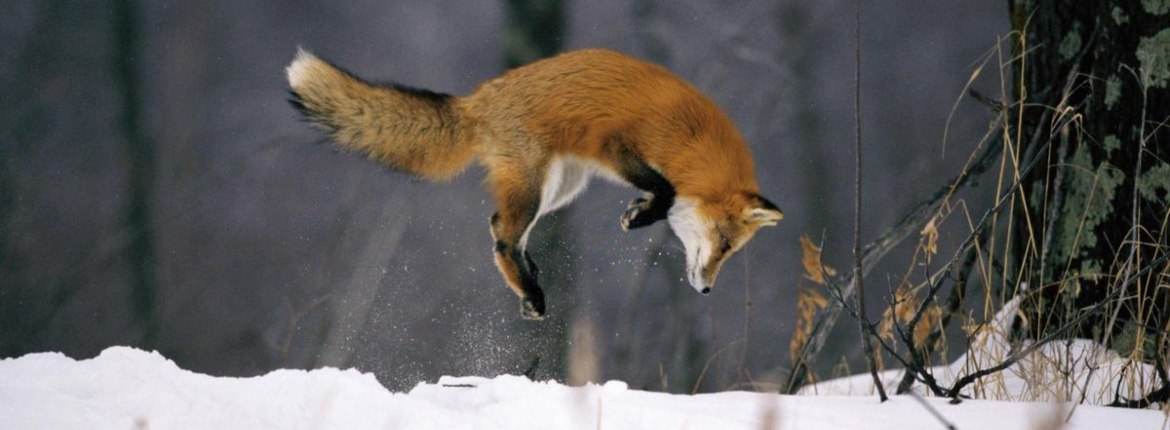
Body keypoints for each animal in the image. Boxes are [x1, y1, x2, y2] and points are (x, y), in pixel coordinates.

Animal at [288, 48, 786, 320]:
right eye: (724, 244)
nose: (707, 291)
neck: (692, 143)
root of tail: (477, 100)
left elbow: (663, 192)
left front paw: (639, 210)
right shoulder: (616, 144)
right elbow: (665, 191)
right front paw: (641, 214)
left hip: (561, 187)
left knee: (498, 226)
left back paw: (530, 283)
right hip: (536, 186)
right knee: (504, 236)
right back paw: (530, 290)